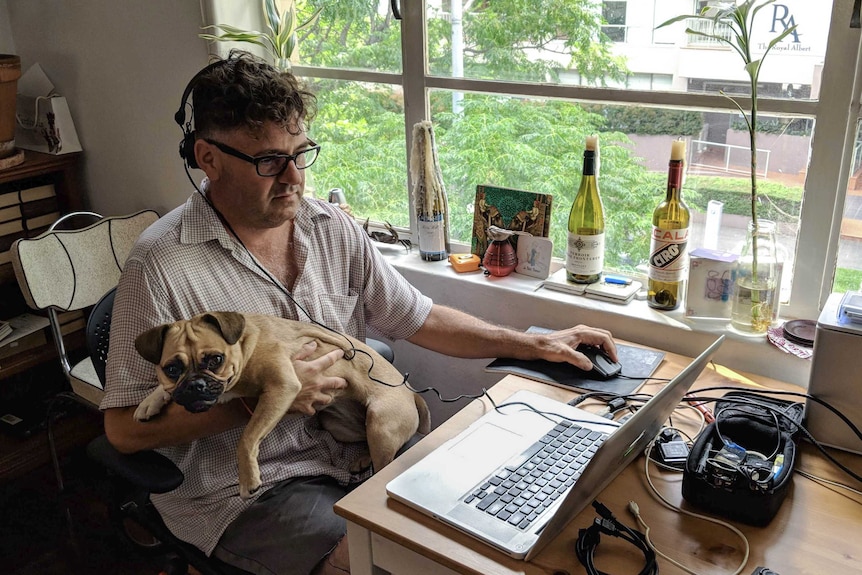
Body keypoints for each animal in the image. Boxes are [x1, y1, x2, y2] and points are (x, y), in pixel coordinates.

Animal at [135, 312, 432, 498]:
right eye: (171, 369)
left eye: (215, 359)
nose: (196, 385)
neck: (245, 347)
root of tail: (412, 392)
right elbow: (163, 388)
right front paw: (149, 402)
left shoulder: (281, 387)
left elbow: (247, 438)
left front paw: (248, 479)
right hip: (340, 426)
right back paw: (361, 459)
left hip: (380, 423)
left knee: (385, 461)